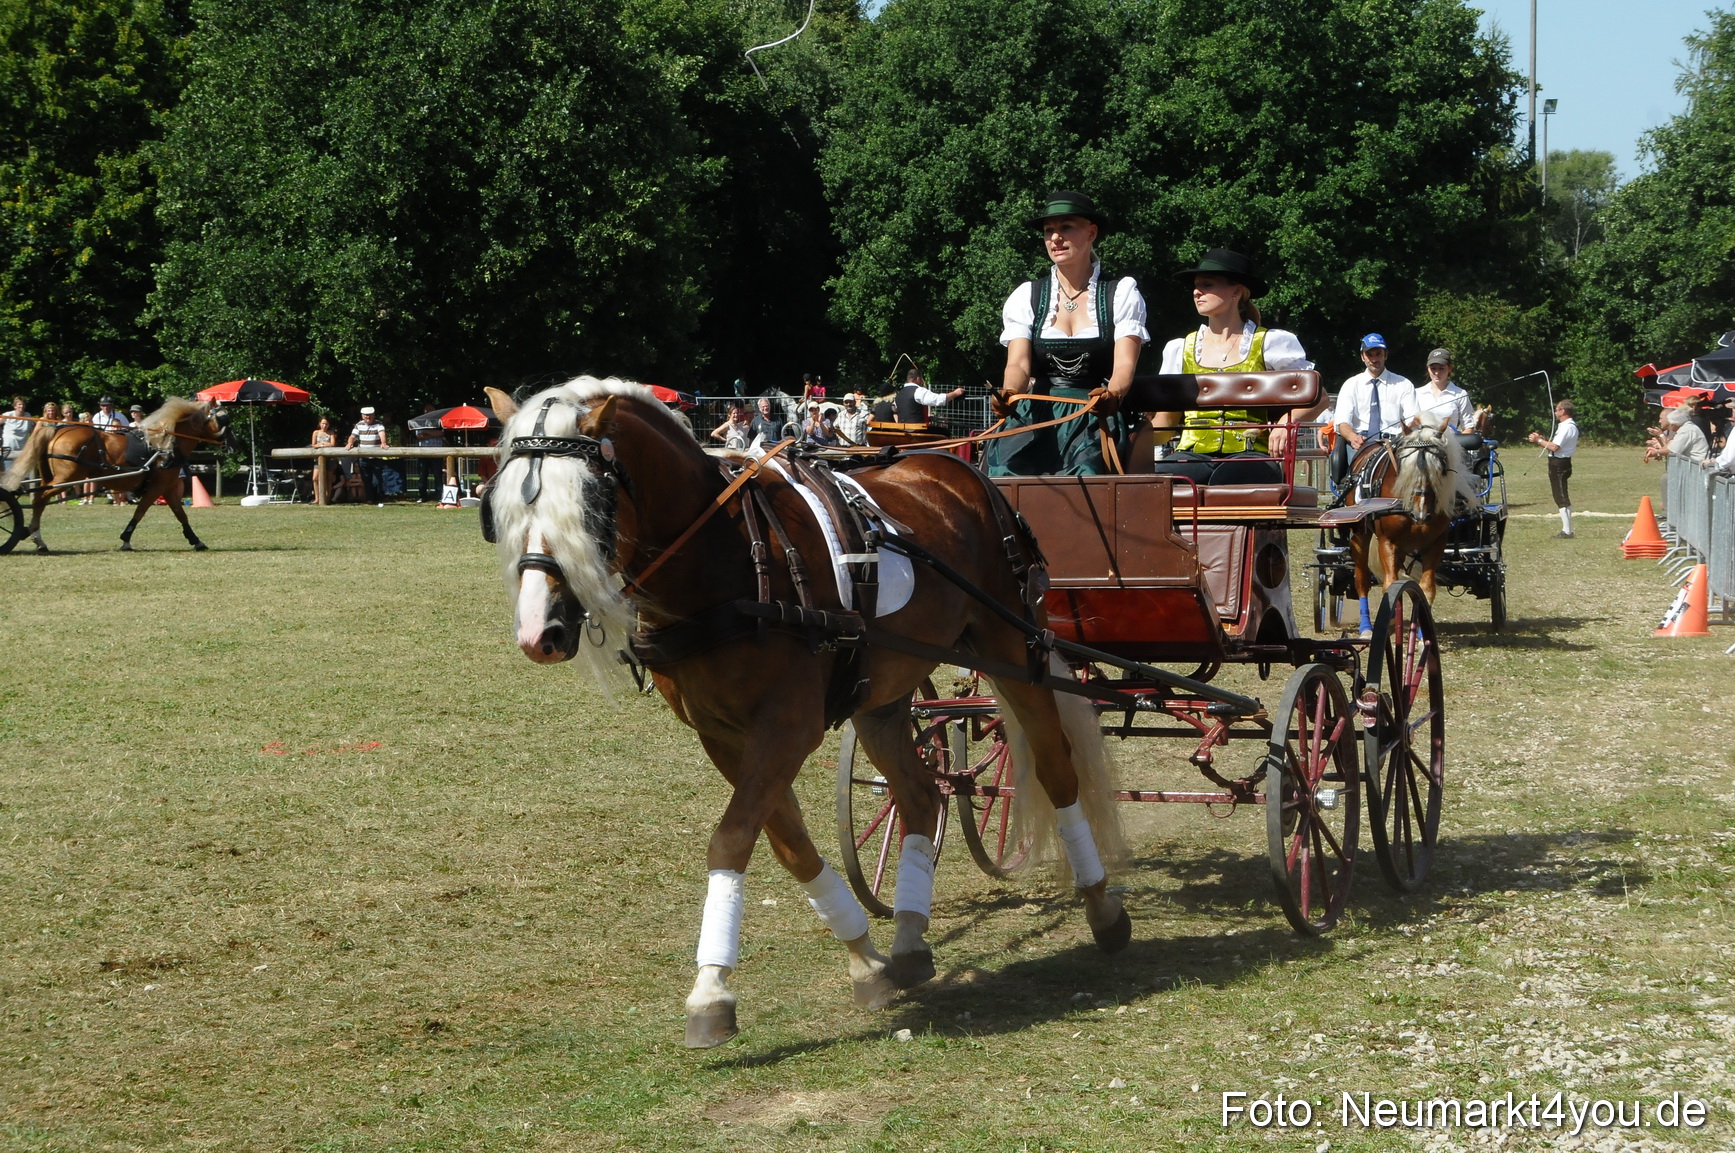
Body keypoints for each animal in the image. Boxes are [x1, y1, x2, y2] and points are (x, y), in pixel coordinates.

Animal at [1, 398, 231, 554]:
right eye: (223, 419)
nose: (234, 444)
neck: (165, 444)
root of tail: (57, 430)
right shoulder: (157, 488)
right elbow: (141, 512)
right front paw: (126, 539)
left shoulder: (167, 488)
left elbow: (180, 514)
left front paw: (196, 540)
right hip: (65, 479)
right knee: (39, 500)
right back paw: (35, 537)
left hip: (52, 478)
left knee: (39, 501)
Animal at [483, 376, 1128, 1049]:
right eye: (501, 510)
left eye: (590, 507)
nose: (539, 633)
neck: (722, 561)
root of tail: (961, 471)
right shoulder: (722, 734)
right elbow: (786, 843)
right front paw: (865, 960)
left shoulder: (788, 727)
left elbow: (731, 839)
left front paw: (710, 990)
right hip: (885, 694)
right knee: (921, 796)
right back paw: (909, 938)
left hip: (1011, 648)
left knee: (1056, 768)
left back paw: (1102, 907)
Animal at [1346, 412, 1481, 633]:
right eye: (1404, 463)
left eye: (1440, 466)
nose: (1421, 512)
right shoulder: (1387, 542)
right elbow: (1390, 585)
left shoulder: (1435, 543)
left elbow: (1426, 589)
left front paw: (1420, 632)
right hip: (1360, 535)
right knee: (1362, 578)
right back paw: (1367, 627)